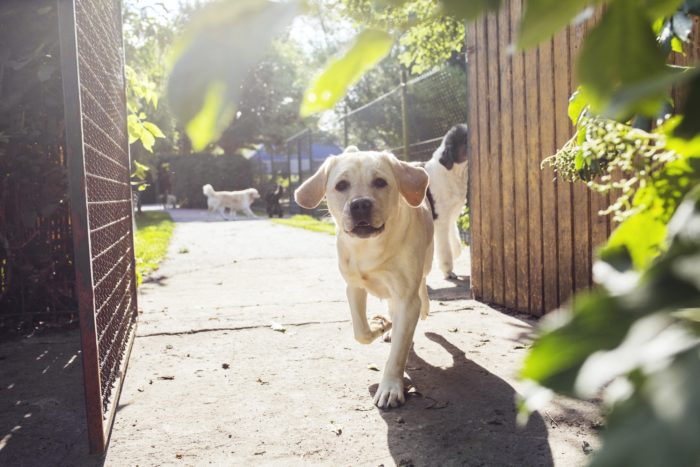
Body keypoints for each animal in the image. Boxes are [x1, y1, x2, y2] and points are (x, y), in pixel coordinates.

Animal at [294, 147, 432, 410]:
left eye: (380, 182)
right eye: (341, 185)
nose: (360, 204)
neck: (369, 247)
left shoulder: (407, 298)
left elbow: (397, 354)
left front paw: (390, 387)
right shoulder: (354, 287)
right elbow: (361, 332)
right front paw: (380, 326)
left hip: (426, 264)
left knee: (422, 285)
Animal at [424, 122, 468, 280]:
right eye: (465, 138)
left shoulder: (452, 216)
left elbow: (455, 244)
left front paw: (455, 254)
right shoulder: (441, 220)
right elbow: (444, 249)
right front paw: (448, 271)